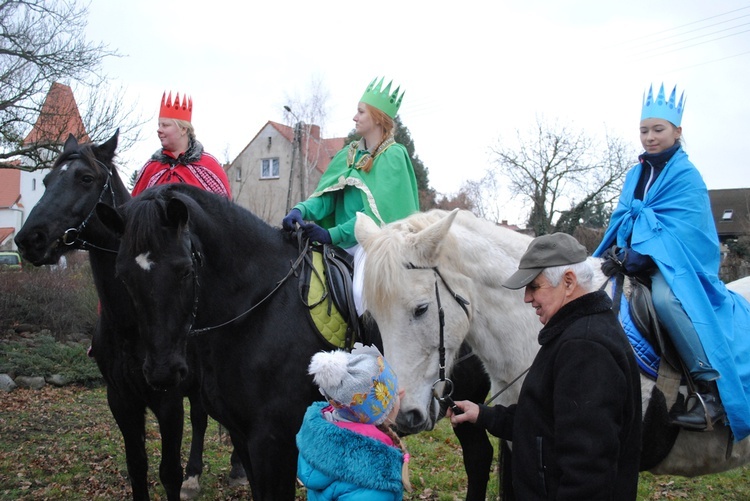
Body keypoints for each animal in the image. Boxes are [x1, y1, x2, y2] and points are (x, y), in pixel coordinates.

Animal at [13, 133, 241, 500]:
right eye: (46, 181)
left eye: (85, 178)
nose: (29, 238)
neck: (132, 324)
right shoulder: (120, 399)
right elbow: (137, 466)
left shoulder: (168, 401)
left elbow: (168, 471)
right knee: (201, 417)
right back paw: (195, 474)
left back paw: (236, 468)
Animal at [98, 185, 500, 500]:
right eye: (123, 275)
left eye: (183, 270)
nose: (162, 372)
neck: (257, 306)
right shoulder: (243, 437)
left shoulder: (273, 442)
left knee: (479, 458)